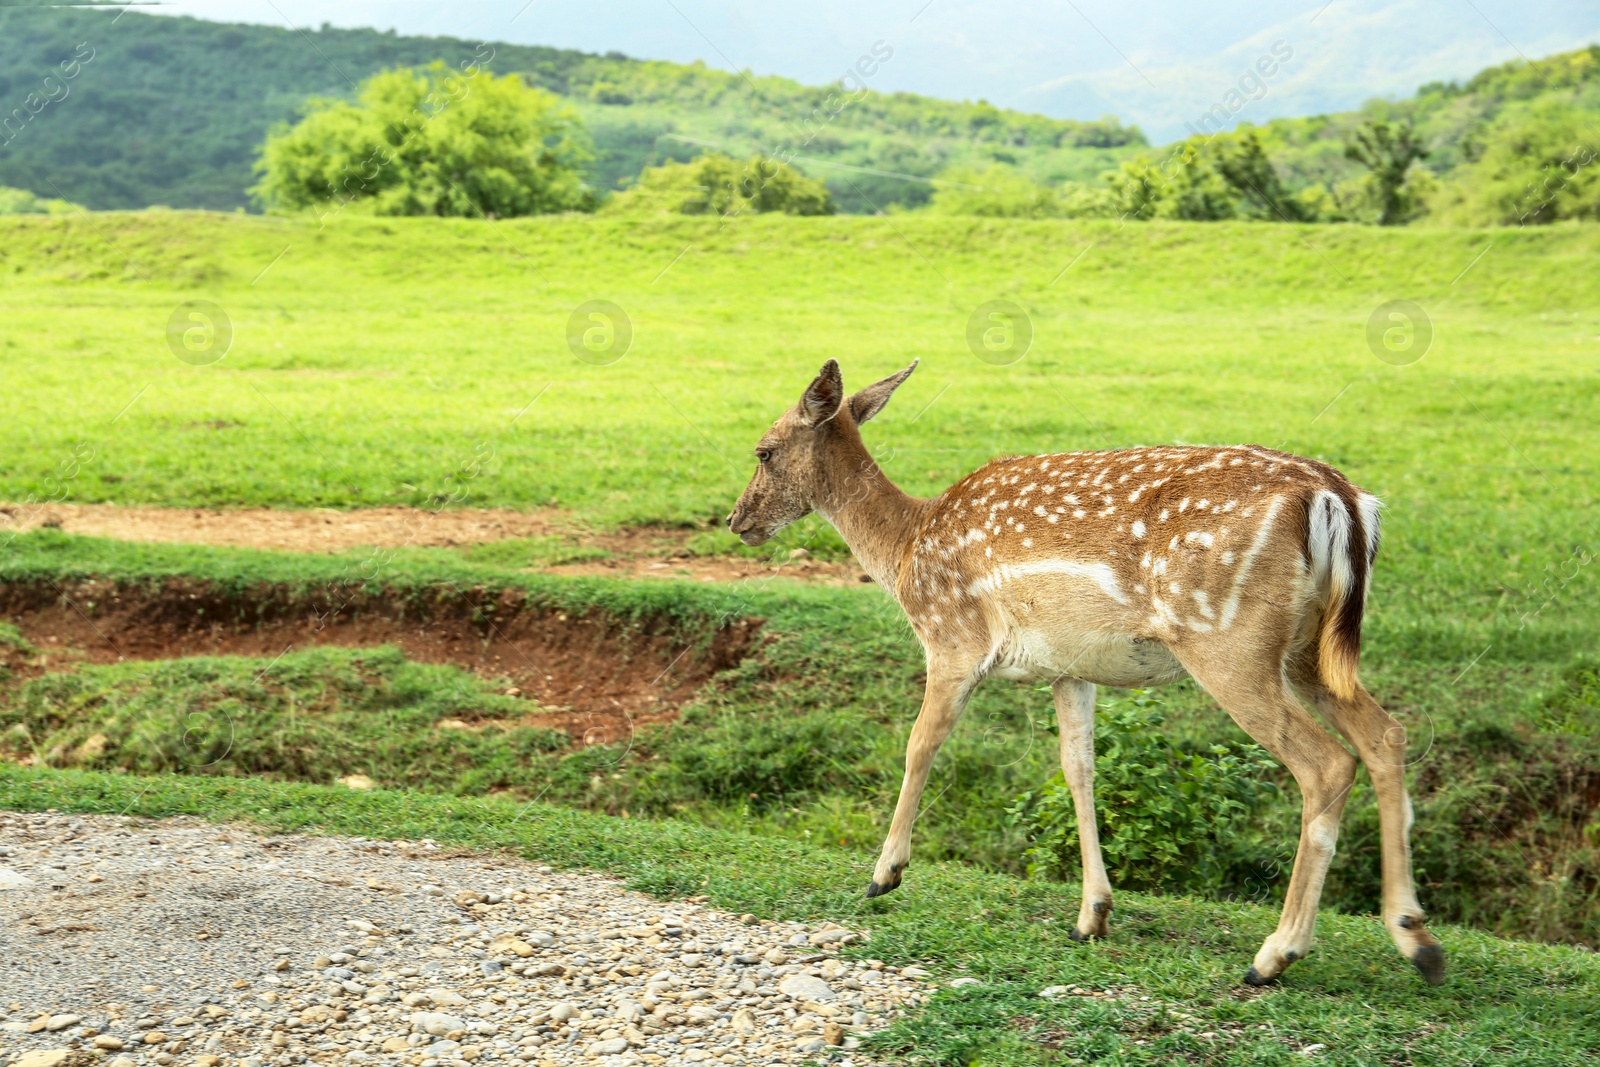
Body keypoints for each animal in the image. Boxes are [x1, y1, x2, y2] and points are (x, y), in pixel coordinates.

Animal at [729, 361, 1452, 991]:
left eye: (763, 450)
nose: (738, 520)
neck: (907, 549)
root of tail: (1340, 499)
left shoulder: (952, 640)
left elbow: (919, 744)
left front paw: (884, 873)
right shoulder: (1070, 669)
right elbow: (1078, 770)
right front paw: (1092, 915)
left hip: (1230, 639)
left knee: (1327, 763)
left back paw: (1275, 954)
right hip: (1309, 650)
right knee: (1386, 735)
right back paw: (1417, 938)